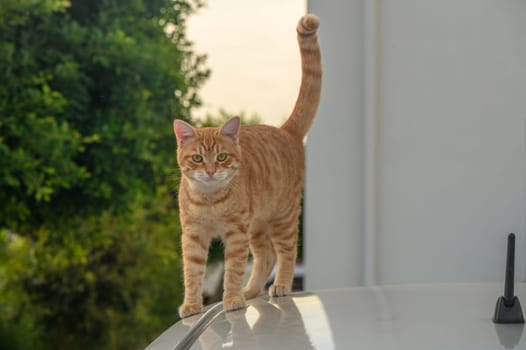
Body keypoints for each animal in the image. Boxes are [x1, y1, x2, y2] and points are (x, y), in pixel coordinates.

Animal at [174, 15, 322, 318]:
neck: (210, 200)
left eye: (221, 157)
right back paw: (252, 290)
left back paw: (279, 286)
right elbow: (192, 273)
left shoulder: (235, 234)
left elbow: (233, 269)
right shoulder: (193, 236)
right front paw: (192, 305)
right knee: (266, 255)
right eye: (197, 158)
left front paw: (231, 299)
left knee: (286, 253)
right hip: (257, 226)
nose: (210, 171)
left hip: (282, 218)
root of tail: (285, 130)